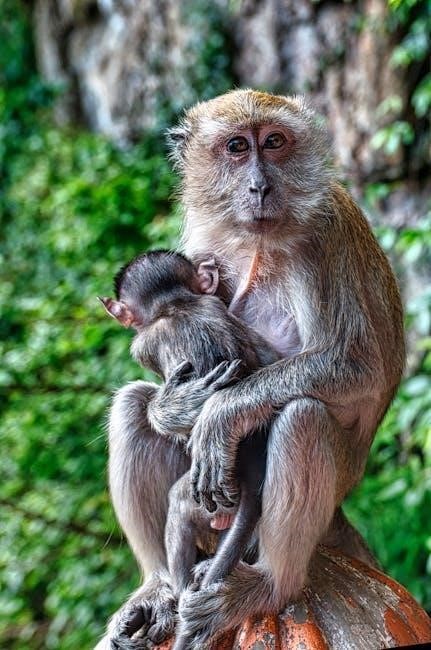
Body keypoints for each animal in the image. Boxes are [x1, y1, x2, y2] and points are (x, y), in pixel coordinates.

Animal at [96, 90, 404, 650]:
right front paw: (178, 405)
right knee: (131, 404)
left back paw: (269, 585)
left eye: (274, 142)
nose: (261, 184)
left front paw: (220, 415)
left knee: (302, 416)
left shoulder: (324, 235)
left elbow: (355, 365)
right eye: (238, 147)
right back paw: (159, 588)